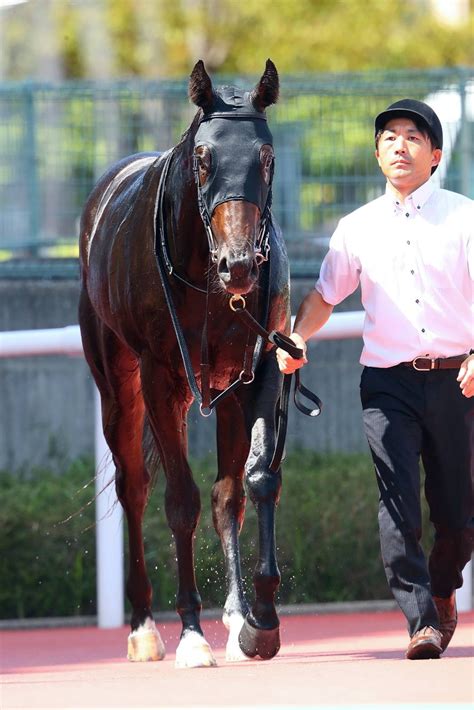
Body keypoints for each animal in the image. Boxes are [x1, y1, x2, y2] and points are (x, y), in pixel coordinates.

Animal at [78, 58, 288, 672]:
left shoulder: (251, 373)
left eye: (266, 156)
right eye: (202, 157)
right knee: (134, 486)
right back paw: (144, 627)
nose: (239, 265)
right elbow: (180, 501)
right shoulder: (162, 378)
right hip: (117, 382)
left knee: (222, 496)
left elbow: (242, 489)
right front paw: (192, 634)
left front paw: (253, 621)